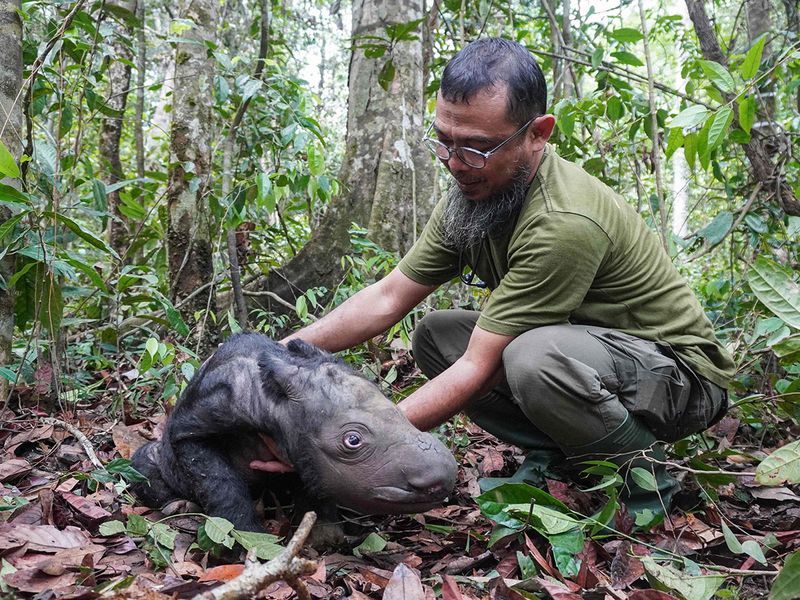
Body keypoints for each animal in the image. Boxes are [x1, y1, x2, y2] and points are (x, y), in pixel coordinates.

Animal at [130, 336, 456, 532]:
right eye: (352, 440)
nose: (443, 478)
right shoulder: (196, 424)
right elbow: (218, 481)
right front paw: (247, 538)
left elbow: (312, 482)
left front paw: (325, 535)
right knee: (143, 463)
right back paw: (177, 506)